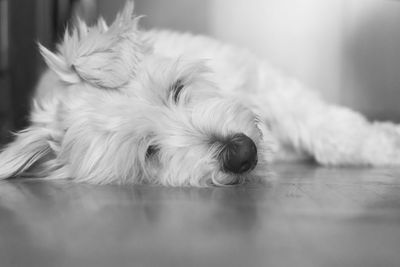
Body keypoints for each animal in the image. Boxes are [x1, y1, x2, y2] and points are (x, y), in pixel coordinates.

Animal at [0, 1, 400, 186]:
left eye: (177, 89)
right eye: (150, 151)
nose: (242, 153)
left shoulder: (263, 80)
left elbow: (326, 126)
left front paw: (384, 144)